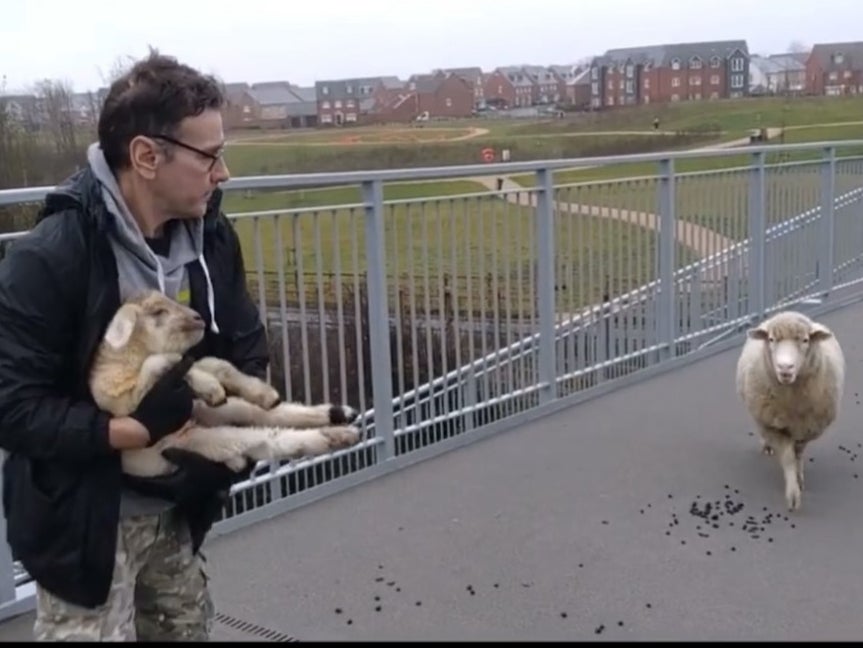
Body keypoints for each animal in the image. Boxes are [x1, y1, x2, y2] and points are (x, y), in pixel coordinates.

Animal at [85, 292, 362, 478]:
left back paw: (337, 413)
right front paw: (211, 386)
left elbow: (214, 363)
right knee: (267, 439)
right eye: (157, 312)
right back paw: (338, 434)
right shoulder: (126, 403)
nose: (198, 318)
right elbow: (161, 361)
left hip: (207, 412)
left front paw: (252, 390)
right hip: (198, 439)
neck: (125, 362)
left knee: (266, 415)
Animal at [732, 308, 848, 512]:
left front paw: (799, 479)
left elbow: (798, 455)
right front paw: (793, 496)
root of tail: (787, 311)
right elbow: (787, 459)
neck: (792, 403)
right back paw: (768, 448)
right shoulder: (772, 426)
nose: (785, 367)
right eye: (771, 339)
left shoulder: (807, 428)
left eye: (805, 340)